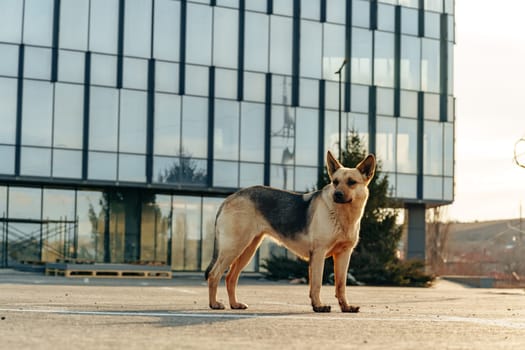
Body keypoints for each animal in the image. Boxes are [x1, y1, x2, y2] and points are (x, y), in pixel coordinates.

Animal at [204, 152, 372, 314]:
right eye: (335, 182)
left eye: (351, 182)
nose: (337, 194)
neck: (342, 214)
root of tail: (230, 198)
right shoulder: (318, 254)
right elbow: (317, 284)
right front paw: (318, 306)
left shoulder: (344, 255)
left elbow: (341, 285)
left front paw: (345, 307)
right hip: (234, 247)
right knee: (214, 274)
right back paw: (214, 304)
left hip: (247, 250)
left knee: (230, 278)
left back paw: (234, 304)